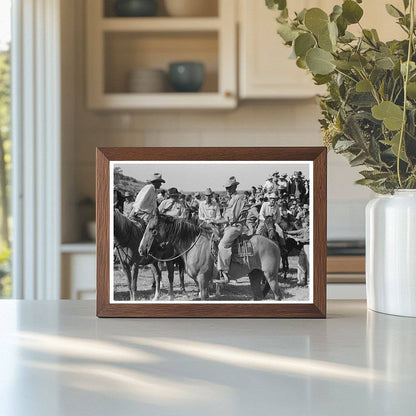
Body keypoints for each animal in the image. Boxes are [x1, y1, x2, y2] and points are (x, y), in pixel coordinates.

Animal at [137, 214, 282, 300]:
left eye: (152, 229)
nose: (141, 249)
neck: (193, 244)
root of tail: (274, 243)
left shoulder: (202, 278)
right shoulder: (201, 281)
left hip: (271, 276)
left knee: (277, 296)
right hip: (255, 274)